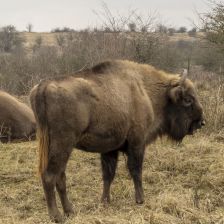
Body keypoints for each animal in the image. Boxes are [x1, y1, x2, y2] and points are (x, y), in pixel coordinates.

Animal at [30, 60, 206, 222]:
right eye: (188, 99)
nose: (201, 122)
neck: (146, 91)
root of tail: (43, 87)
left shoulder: (109, 150)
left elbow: (108, 175)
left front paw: (105, 202)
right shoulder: (137, 143)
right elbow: (136, 170)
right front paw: (140, 200)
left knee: (60, 177)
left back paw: (70, 211)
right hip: (63, 144)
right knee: (50, 176)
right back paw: (57, 216)